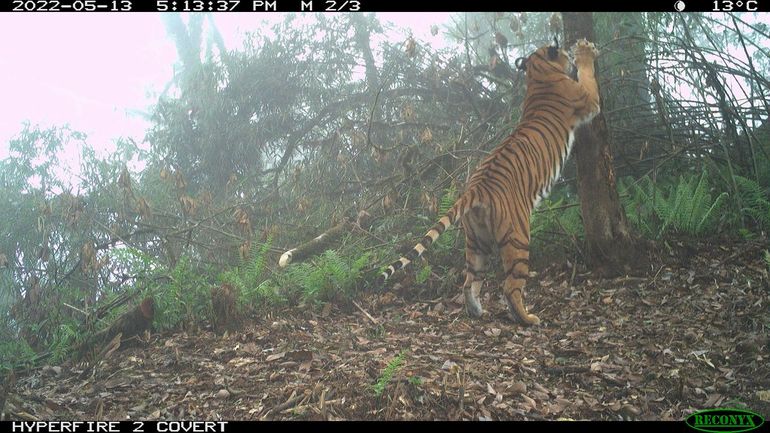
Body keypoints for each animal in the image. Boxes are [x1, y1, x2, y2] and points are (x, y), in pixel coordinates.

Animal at [378, 39, 600, 324]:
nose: (568, 48)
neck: (538, 72)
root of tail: (476, 187)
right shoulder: (587, 99)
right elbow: (588, 76)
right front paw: (585, 52)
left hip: (477, 242)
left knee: (468, 281)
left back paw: (477, 311)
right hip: (518, 237)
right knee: (510, 286)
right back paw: (527, 319)